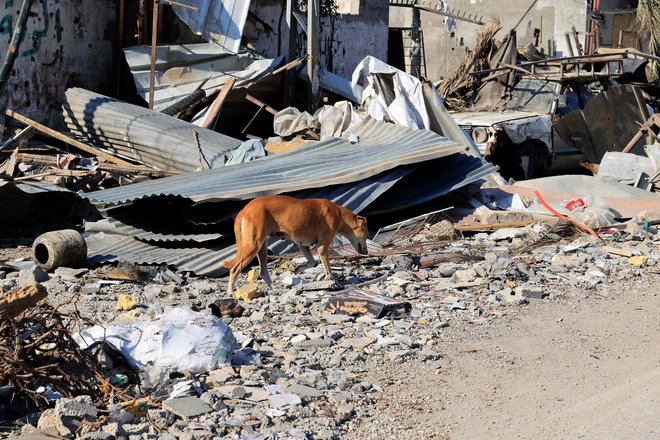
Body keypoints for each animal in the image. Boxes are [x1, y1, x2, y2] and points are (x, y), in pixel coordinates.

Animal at [222, 196, 366, 296]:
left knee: (263, 271)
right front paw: (334, 282)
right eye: (366, 235)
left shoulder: (302, 245)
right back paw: (230, 292)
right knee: (234, 269)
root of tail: (243, 210)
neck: (339, 214)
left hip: (262, 248)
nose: (365, 252)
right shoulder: (322, 247)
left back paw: (274, 288)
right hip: (253, 245)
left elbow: (312, 262)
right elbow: (328, 270)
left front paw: (298, 269)